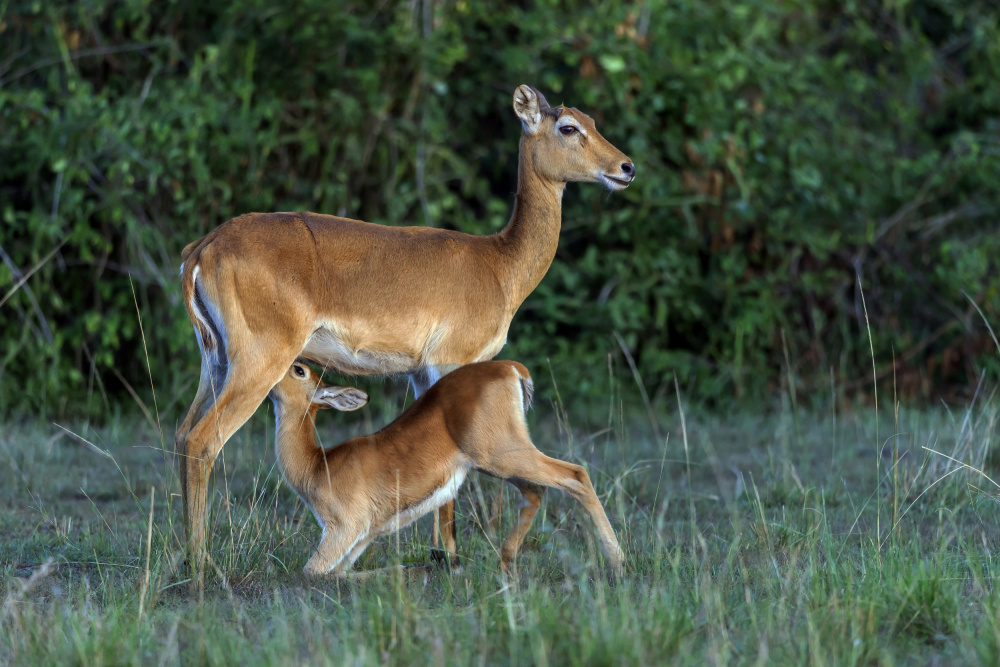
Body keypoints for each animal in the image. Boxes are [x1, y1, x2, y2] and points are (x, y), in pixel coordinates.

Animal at [266, 360, 624, 580]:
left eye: (298, 369)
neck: (317, 464)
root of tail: (511, 367)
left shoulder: (342, 530)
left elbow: (311, 572)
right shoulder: (360, 539)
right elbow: (340, 573)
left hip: (502, 456)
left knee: (576, 475)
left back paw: (618, 563)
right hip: (502, 464)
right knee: (536, 492)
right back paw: (503, 566)